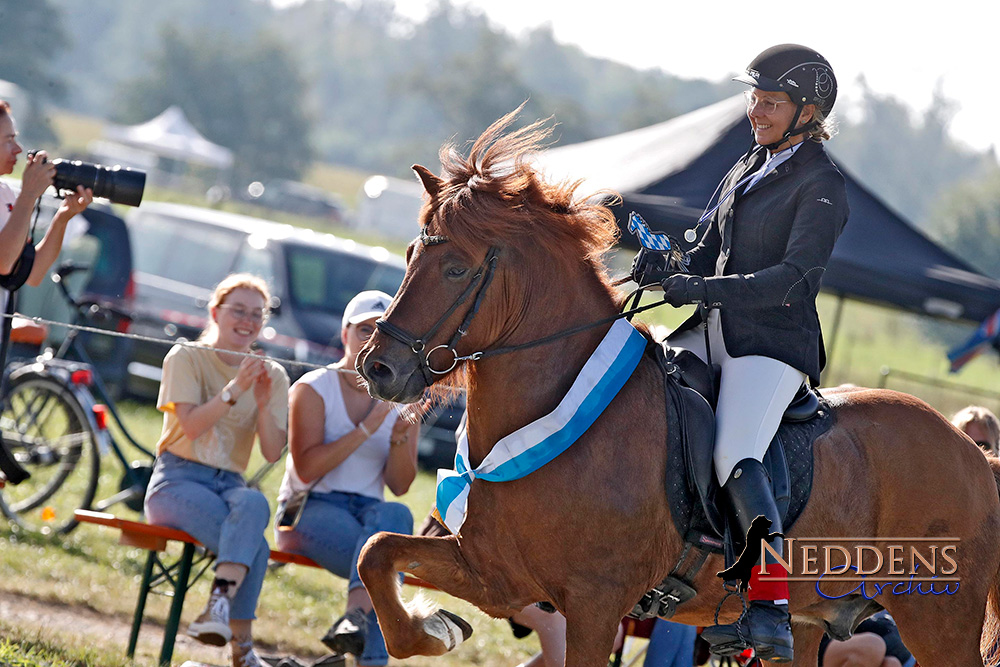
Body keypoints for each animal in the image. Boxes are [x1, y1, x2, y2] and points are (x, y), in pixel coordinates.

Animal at [356, 112, 1000, 664]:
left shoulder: (593, 608)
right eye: (410, 253)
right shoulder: (494, 574)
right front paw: (433, 627)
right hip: (813, 620)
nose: (377, 368)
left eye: (456, 270)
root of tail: (973, 453)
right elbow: (375, 551)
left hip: (937, 619)